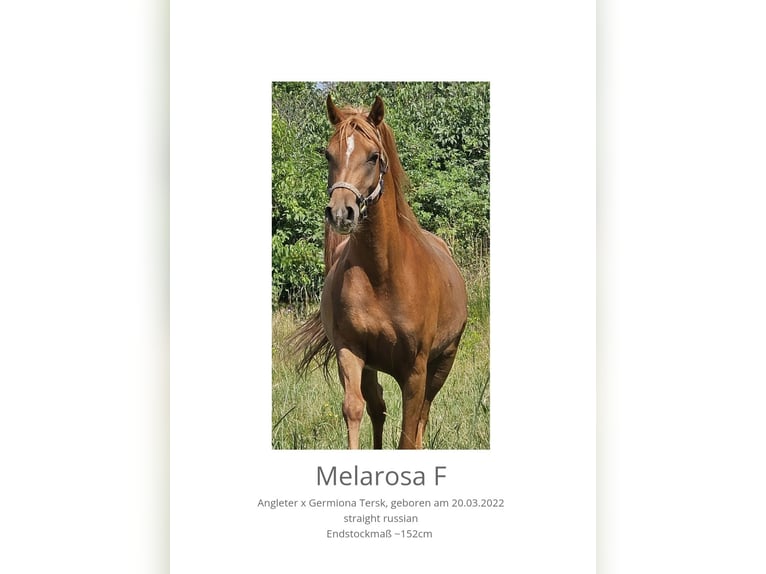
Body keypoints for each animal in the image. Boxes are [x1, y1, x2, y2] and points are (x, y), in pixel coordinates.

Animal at [293, 95, 468, 449]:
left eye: (373, 156)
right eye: (328, 154)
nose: (341, 213)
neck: (384, 276)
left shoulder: (416, 369)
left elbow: (409, 432)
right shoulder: (350, 351)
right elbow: (354, 409)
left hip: (443, 362)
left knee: (422, 415)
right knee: (378, 407)